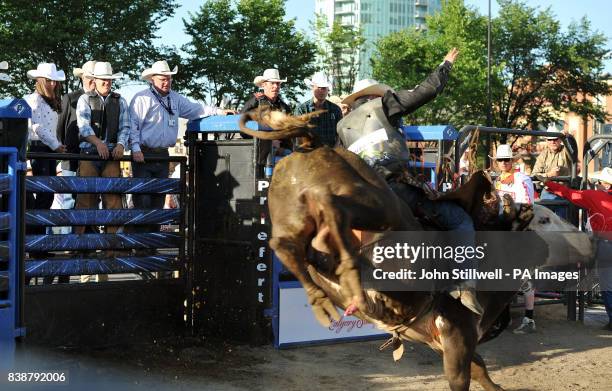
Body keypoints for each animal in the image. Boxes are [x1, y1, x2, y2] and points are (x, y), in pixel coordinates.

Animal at [238, 108, 592, 391]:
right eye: (545, 219)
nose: (588, 240)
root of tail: (314, 143)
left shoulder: (448, 342)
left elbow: (482, 371)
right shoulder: (457, 335)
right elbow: (463, 377)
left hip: (292, 216)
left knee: (289, 245)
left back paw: (327, 294)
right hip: (376, 207)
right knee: (333, 209)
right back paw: (349, 274)